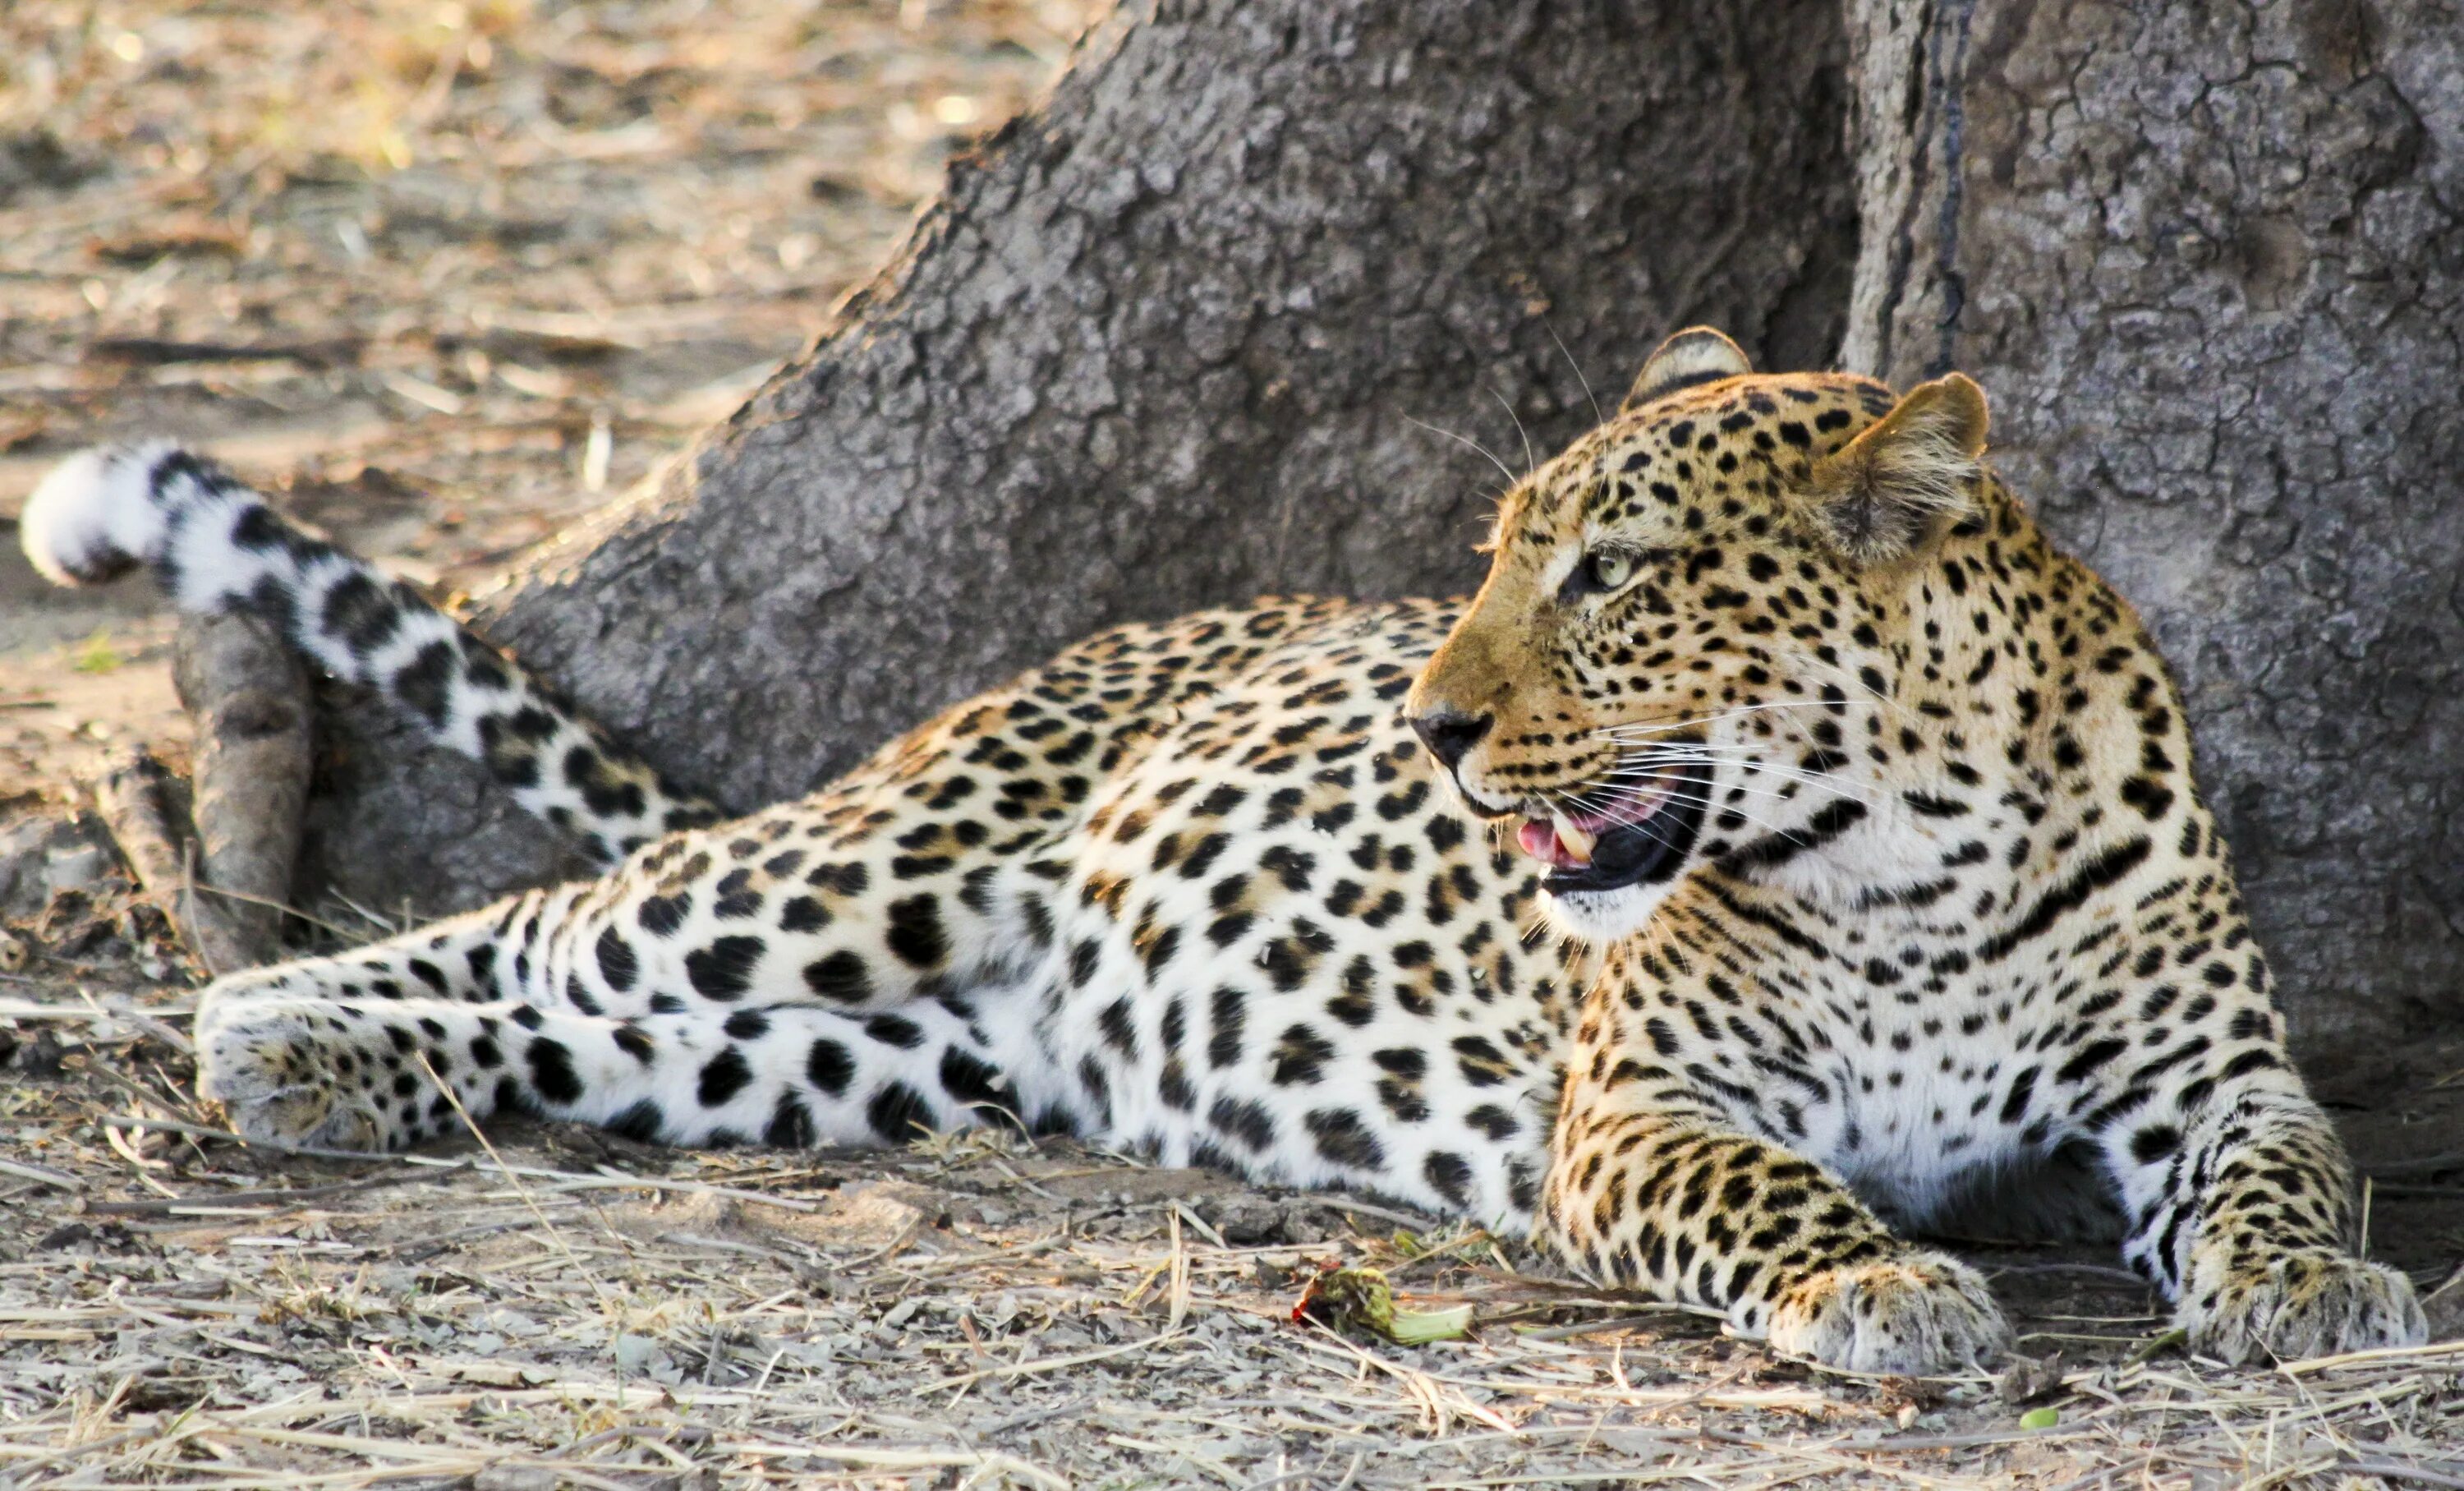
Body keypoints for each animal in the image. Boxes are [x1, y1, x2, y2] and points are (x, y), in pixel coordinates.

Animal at [24, 328, 2425, 1370]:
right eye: (1498, 548)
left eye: (1614, 573)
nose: (1439, 724)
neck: (1909, 857)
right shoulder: (1640, 1101)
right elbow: (1769, 1187)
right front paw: (1881, 1284)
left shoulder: (2213, 1074)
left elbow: (2289, 1165)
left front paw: (2312, 1286)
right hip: (862, 866)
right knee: (551, 924)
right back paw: (284, 1029)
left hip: (875, 1052)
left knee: (618, 1033)